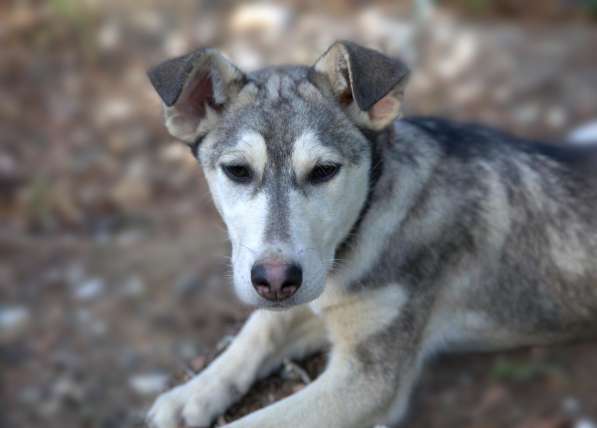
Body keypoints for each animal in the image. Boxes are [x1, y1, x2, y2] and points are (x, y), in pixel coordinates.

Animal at [144, 41, 596, 428]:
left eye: (324, 171)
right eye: (237, 170)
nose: (275, 281)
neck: (358, 230)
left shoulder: (367, 379)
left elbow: (258, 419)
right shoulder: (320, 296)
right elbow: (259, 328)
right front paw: (192, 394)